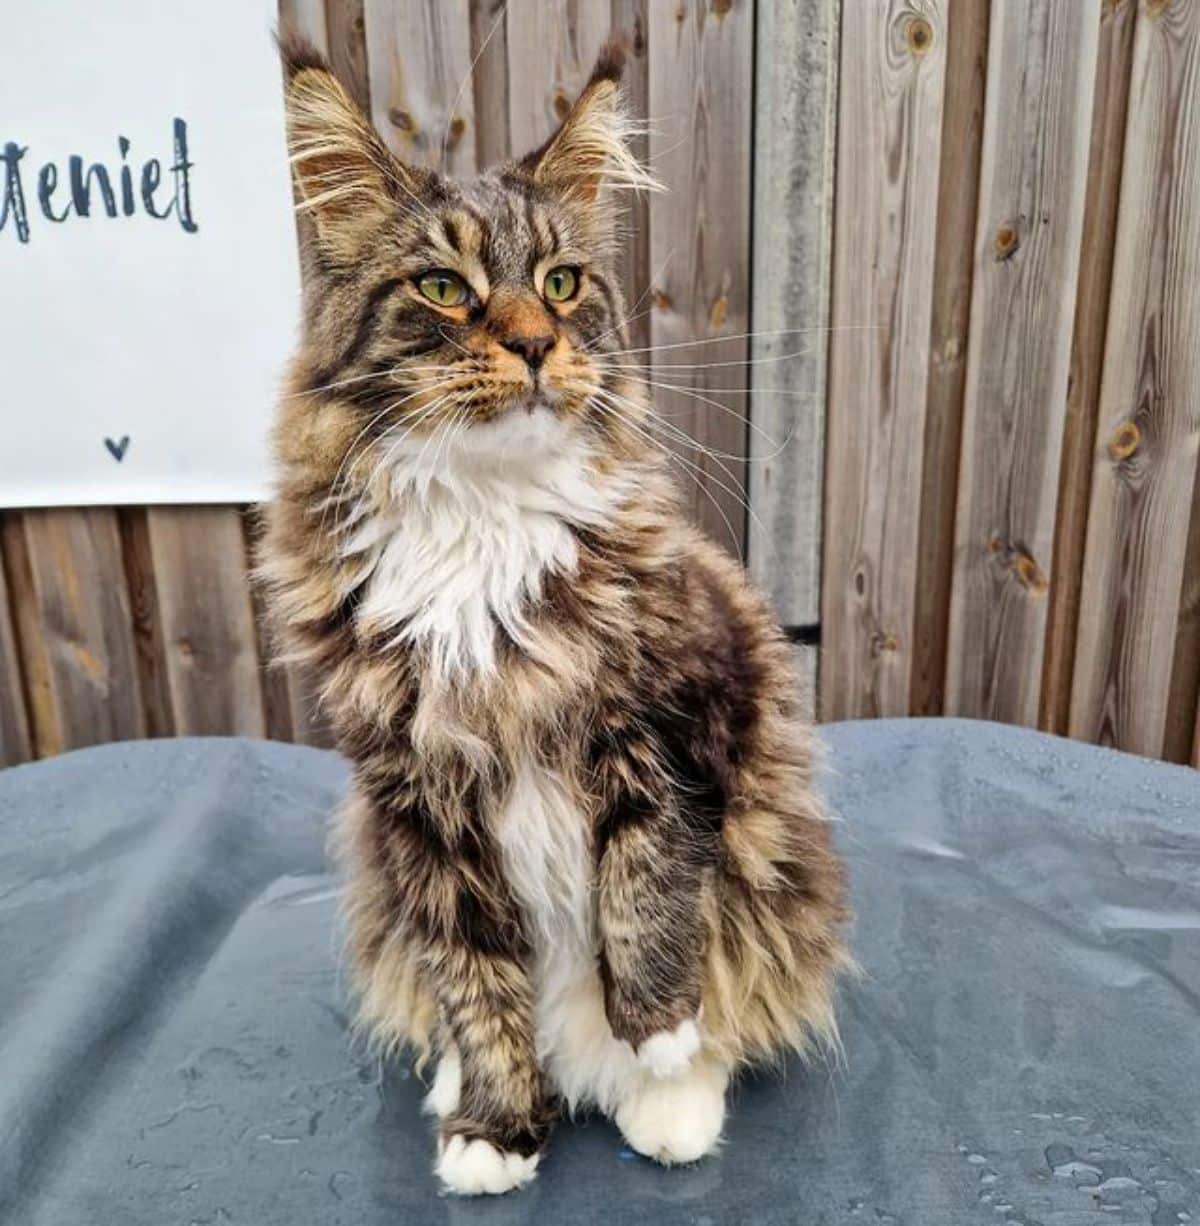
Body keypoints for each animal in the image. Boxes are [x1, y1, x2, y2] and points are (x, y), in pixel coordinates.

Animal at [262, 31, 848, 1196]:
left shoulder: (674, 723)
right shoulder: (416, 803)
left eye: (562, 283)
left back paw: (665, 1097)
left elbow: (646, 882)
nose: (537, 344)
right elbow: (475, 976)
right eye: (444, 287)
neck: (483, 528)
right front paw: (494, 1124)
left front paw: (658, 1031)